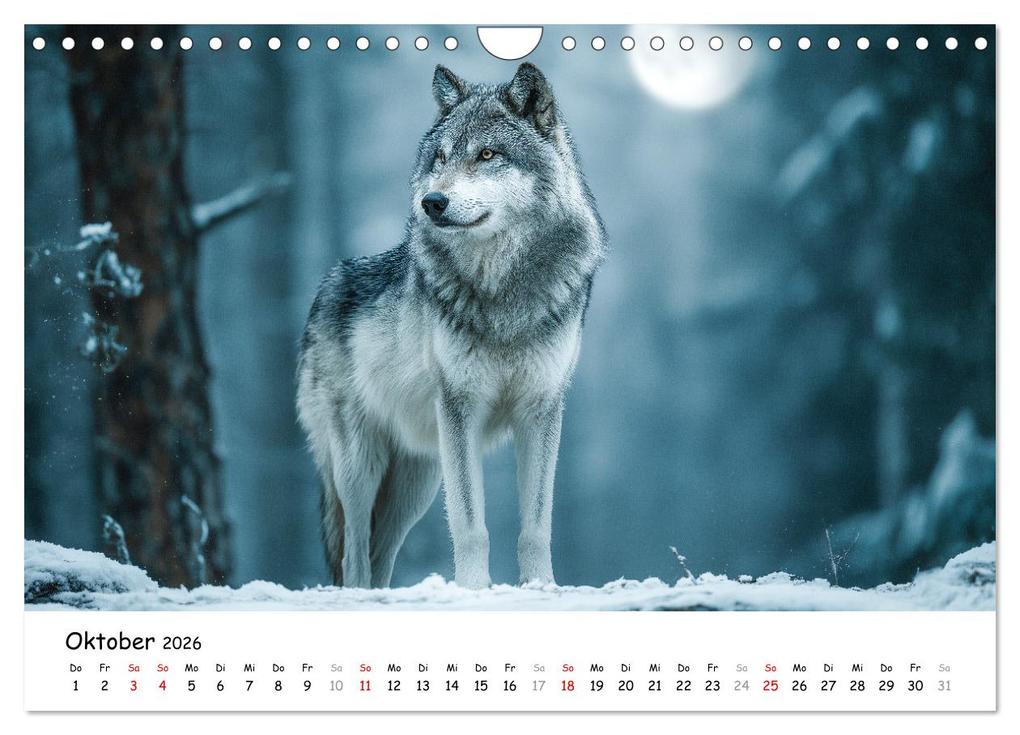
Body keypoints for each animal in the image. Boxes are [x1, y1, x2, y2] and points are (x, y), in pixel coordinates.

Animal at [297, 63, 606, 589]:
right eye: (440, 158)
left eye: (486, 155)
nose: (432, 202)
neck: (504, 290)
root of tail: (326, 285)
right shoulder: (462, 407)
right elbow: (470, 526)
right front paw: (474, 590)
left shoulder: (541, 410)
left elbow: (535, 528)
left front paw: (541, 587)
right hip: (360, 466)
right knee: (353, 555)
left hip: (416, 482)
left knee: (378, 556)